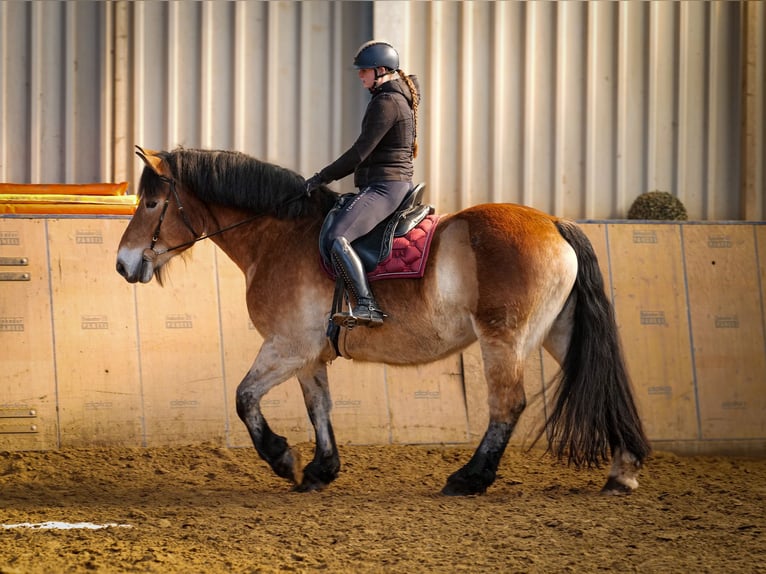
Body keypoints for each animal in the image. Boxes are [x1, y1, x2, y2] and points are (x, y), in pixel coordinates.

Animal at [117, 146, 652, 498]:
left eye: (151, 203)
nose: (123, 264)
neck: (280, 236)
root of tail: (556, 224)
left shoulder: (286, 346)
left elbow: (244, 397)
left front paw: (282, 457)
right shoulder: (308, 353)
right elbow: (319, 407)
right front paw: (321, 470)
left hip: (504, 338)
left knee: (507, 404)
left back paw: (469, 478)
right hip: (558, 332)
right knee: (601, 386)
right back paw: (622, 471)